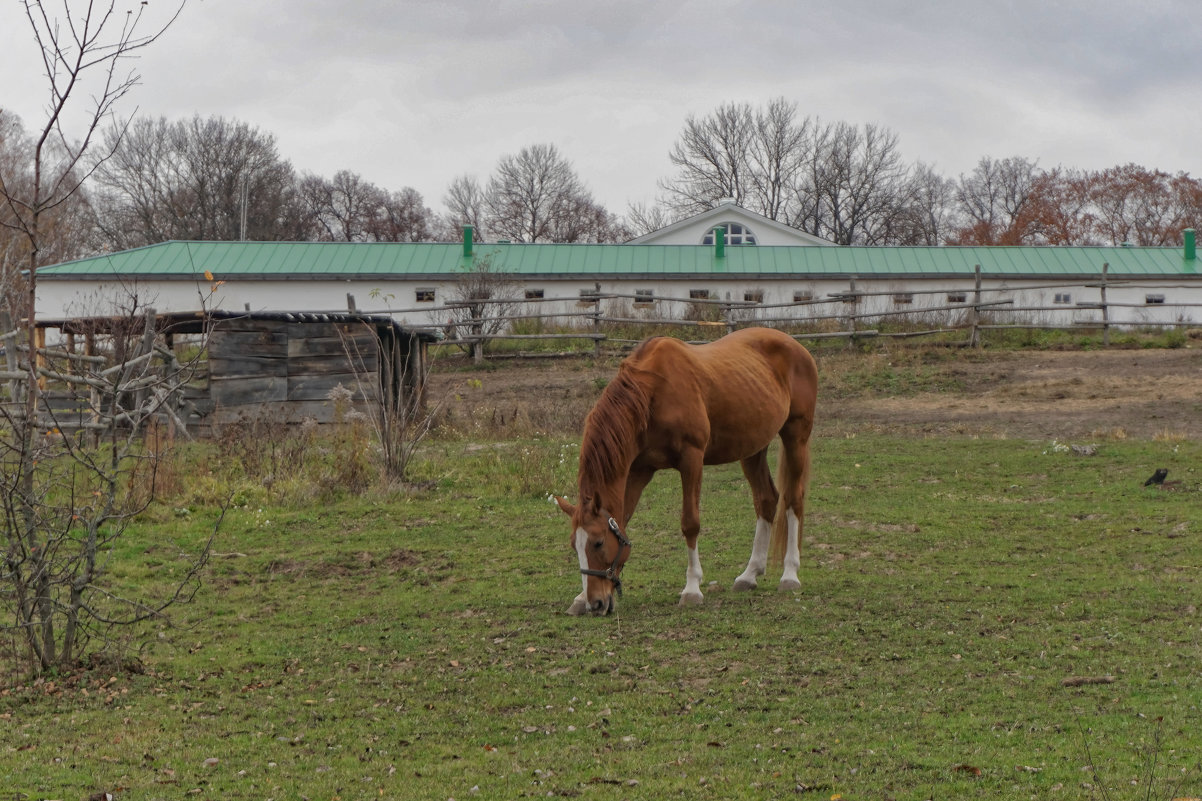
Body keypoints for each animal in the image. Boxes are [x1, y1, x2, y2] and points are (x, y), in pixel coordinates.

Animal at [552, 327, 817, 613]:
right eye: (574, 545)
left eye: (598, 542)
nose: (596, 603)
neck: (652, 394)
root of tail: (795, 346)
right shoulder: (640, 469)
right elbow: (623, 520)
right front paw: (580, 598)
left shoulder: (691, 460)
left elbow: (690, 523)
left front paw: (691, 588)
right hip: (753, 449)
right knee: (766, 500)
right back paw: (749, 575)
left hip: (796, 436)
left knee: (793, 500)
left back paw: (790, 574)